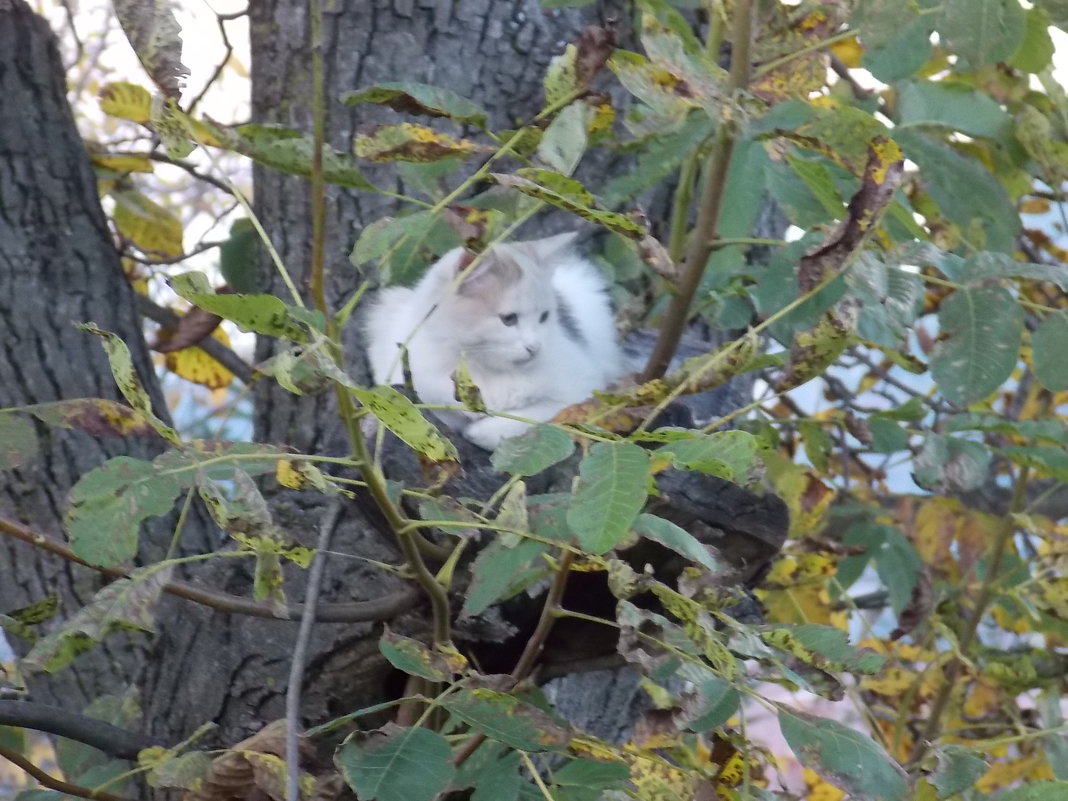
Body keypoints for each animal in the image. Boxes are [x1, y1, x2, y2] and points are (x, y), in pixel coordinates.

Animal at [365, 231, 623, 452]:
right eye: (509, 319)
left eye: (544, 317)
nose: (534, 347)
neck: (482, 368)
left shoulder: (581, 389)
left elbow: (537, 417)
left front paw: (483, 432)